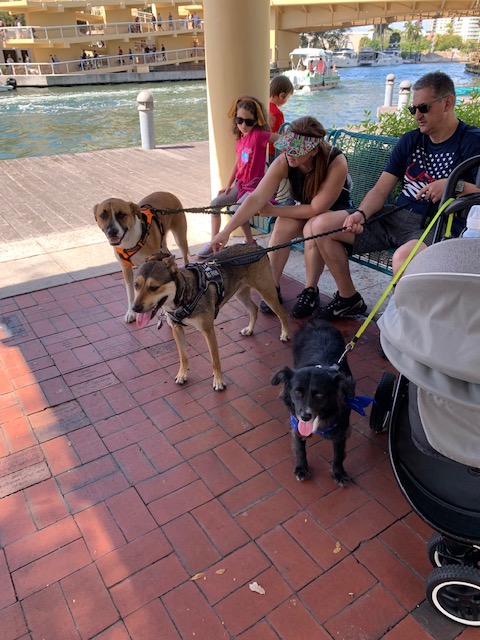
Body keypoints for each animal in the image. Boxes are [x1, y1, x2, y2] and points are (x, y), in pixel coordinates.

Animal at [93, 189, 190, 320]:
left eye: (121, 214)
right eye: (103, 215)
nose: (112, 232)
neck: (129, 242)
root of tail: (166, 192)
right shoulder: (126, 268)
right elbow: (130, 293)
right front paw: (131, 313)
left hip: (180, 237)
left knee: (185, 256)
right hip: (162, 245)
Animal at [129, 245, 290, 390]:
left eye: (154, 288)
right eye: (136, 285)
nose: (135, 308)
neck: (185, 296)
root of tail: (258, 247)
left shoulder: (208, 331)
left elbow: (215, 360)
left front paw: (218, 381)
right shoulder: (177, 329)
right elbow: (183, 356)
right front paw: (182, 374)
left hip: (267, 292)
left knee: (282, 313)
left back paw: (285, 333)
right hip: (241, 294)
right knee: (254, 309)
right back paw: (249, 330)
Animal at [272, 320, 354, 484]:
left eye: (319, 394)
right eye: (297, 391)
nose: (305, 416)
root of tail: (317, 321)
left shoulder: (341, 429)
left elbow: (339, 454)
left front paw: (338, 473)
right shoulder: (296, 423)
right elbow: (300, 449)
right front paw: (301, 468)